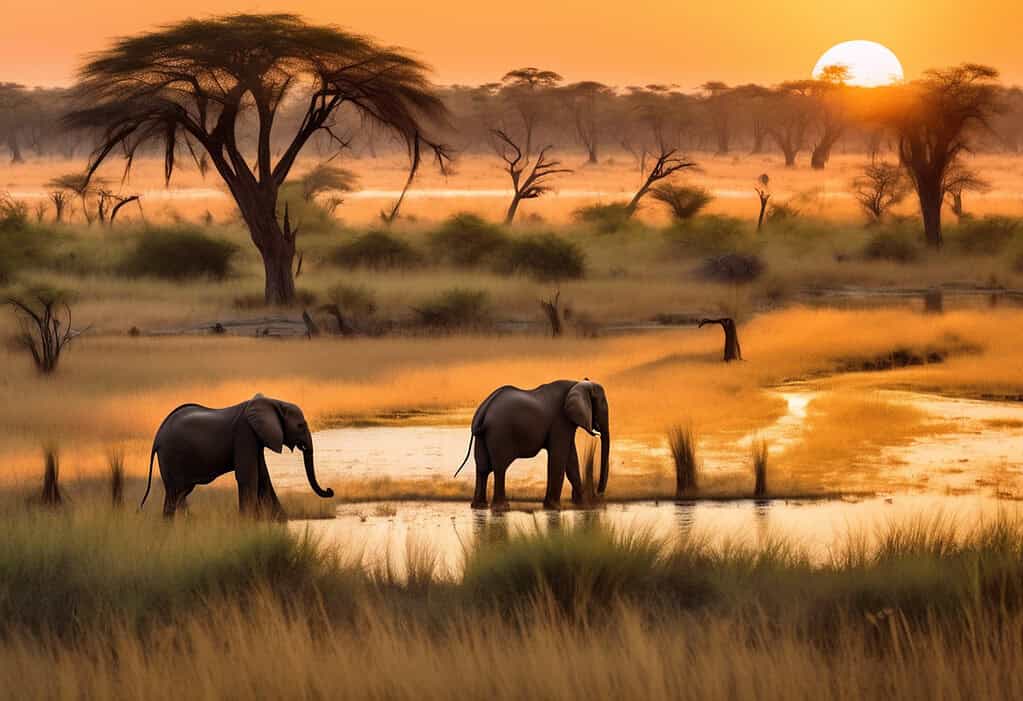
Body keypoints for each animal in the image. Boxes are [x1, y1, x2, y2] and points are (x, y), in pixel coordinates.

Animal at [141, 397, 335, 515]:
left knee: (181, 494)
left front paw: (280, 521)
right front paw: (247, 523)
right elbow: (248, 477)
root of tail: (157, 436)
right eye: (300, 426)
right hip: (171, 456)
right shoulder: (245, 433)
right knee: (175, 494)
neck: (273, 402)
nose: (329, 490)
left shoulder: (256, 438)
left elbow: (263, 479)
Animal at [454, 376, 605, 507]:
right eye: (602, 404)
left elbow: (571, 460)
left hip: (482, 436)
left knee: (482, 468)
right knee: (499, 467)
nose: (599, 493)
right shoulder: (560, 420)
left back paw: (479, 506)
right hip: (499, 433)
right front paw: (555, 507)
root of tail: (483, 411)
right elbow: (559, 458)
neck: (577, 383)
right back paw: (502, 507)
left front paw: (582, 504)